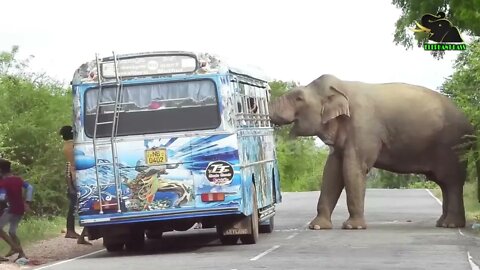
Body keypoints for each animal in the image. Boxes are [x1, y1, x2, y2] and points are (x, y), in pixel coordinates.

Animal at [268, 74, 478, 230]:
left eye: (298, 98)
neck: (342, 86)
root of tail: (470, 124)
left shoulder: (363, 126)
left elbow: (353, 168)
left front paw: (352, 227)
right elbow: (332, 171)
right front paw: (317, 227)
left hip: (453, 146)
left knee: (451, 181)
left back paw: (450, 225)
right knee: (445, 184)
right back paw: (442, 223)